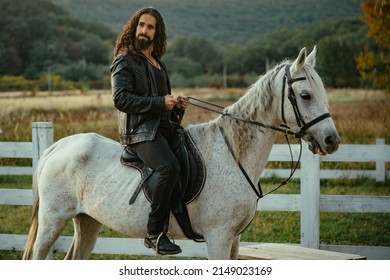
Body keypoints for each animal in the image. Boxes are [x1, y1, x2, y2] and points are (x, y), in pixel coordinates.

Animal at [22, 47, 338, 260]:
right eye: (305, 95)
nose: (332, 140)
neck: (233, 155)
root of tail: (57, 147)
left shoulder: (234, 240)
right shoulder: (218, 237)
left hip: (87, 221)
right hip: (52, 222)